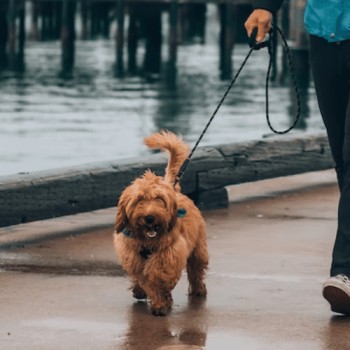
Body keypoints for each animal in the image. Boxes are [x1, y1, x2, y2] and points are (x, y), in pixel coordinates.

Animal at [114, 130, 208, 316]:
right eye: (139, 199)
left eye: (159, 199)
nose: (150, 217)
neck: (147, 241)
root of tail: (173, 187)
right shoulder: (132, 255)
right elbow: (142, 277)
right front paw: (154, 299)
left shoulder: (169, 254)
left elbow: (158, 277)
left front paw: (161, 303)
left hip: (198, 247)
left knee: (196, 268)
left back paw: (198, 289)